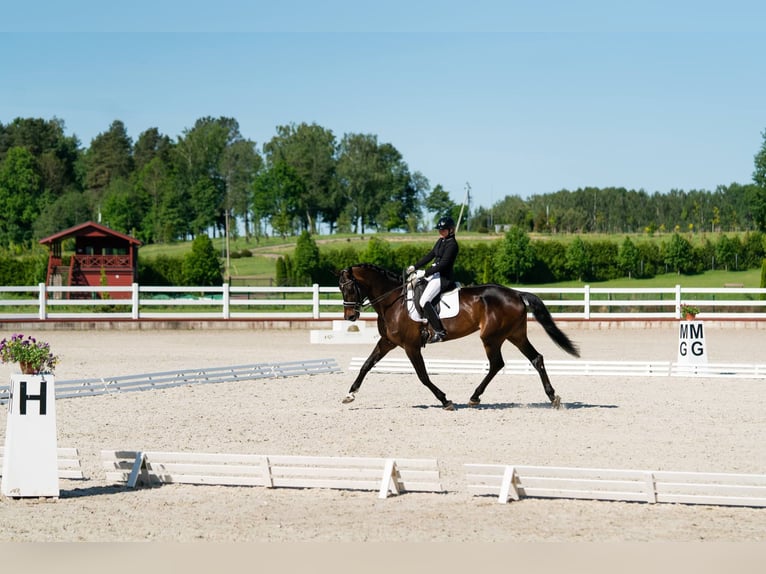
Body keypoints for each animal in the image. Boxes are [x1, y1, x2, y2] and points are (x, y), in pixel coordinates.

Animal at [338, 264, 584, 412]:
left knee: (497, 364)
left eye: (349, 288)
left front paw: (445, 401)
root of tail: (515, 293)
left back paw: (474, 397)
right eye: (340, 288)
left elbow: (423, 376)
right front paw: (350, 395)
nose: (350, 316)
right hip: (515, 334)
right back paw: (553, 398)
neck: (393, 302)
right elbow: (366, 365)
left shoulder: (411, 346)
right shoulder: (388, 342)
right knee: (535, 359)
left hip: (491, 337)